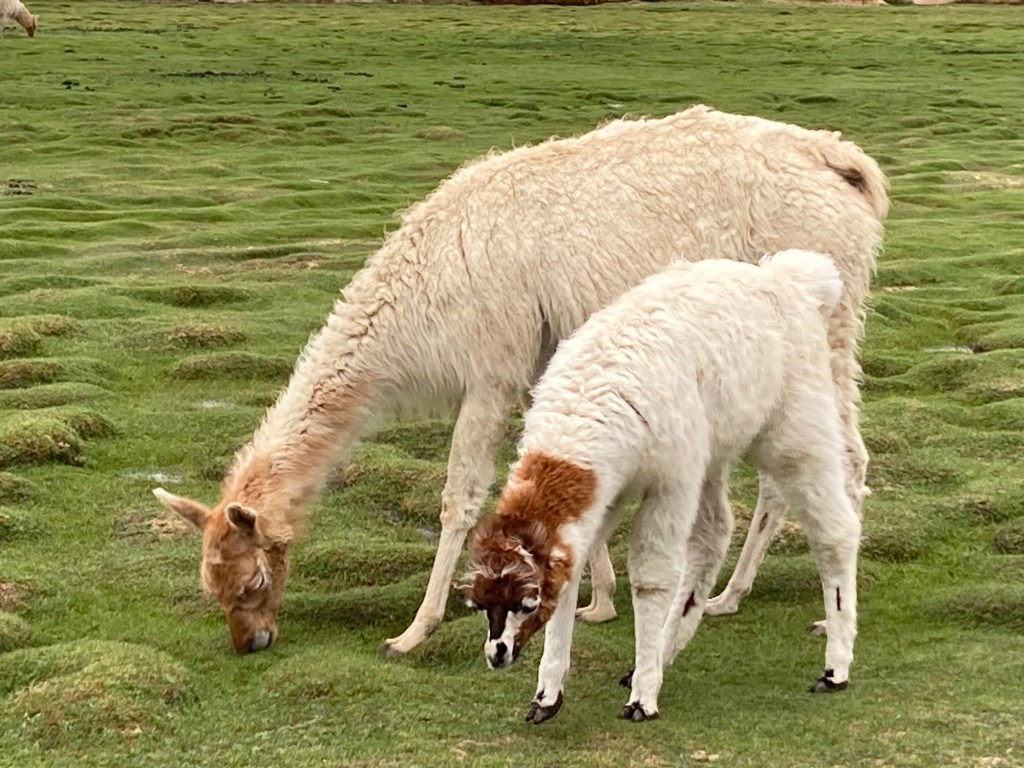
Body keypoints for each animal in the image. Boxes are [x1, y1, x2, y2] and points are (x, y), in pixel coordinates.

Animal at [152, 105, 886, 655]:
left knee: (847, 454)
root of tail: (840, 159)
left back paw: (813, 607)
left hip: (826, 322)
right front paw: (597, 601)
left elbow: (458, 499)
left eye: (250, 583)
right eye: (213, 587)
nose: (252, 643)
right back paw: (734, 593)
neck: (419, 300)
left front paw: (413, 631)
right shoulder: (539, 366)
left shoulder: (490, 368)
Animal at [463, 251, 862, 724]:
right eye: (480, 603)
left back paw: (835, 668)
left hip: (795, 426)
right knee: (714, 533)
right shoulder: (608, 491)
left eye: (527, 601)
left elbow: (652, 577)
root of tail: (793, 276)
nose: (497, 654)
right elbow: (575, 570)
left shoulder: (669, 479)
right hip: (710, 448)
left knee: (834, 531)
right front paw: (547, 696)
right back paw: (659, 655)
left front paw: (642, 699)